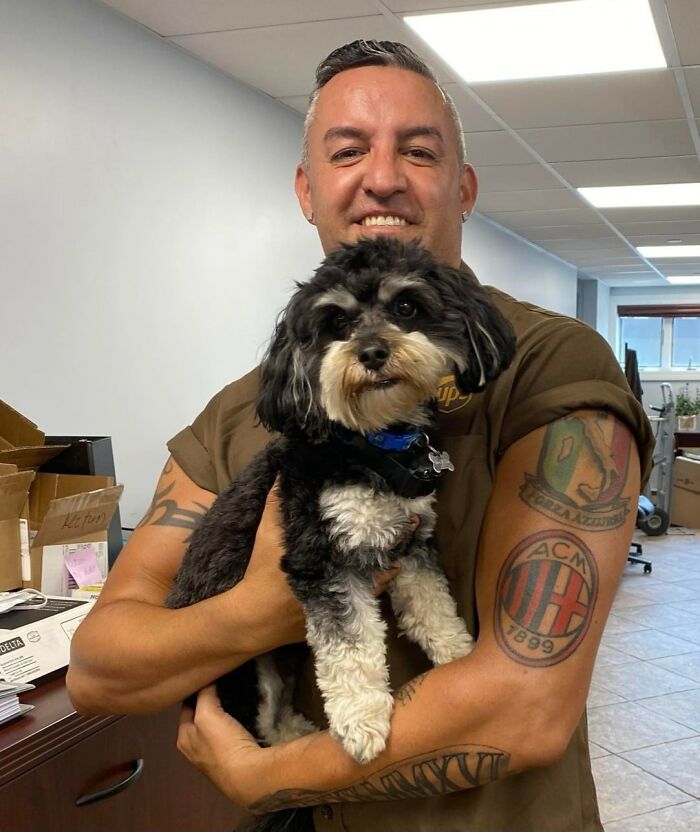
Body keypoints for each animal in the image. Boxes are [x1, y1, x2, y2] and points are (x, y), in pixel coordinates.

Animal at [167, 238, 516, 823]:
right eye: (335, 322)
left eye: (406, 307)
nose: (372, 352)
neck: (371, 446)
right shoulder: (321, 557)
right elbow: (351, 644)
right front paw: (361, 719)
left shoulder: (409, 541)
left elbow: (431, 607)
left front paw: (458, 654)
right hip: (246, 674)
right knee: (259, 730)